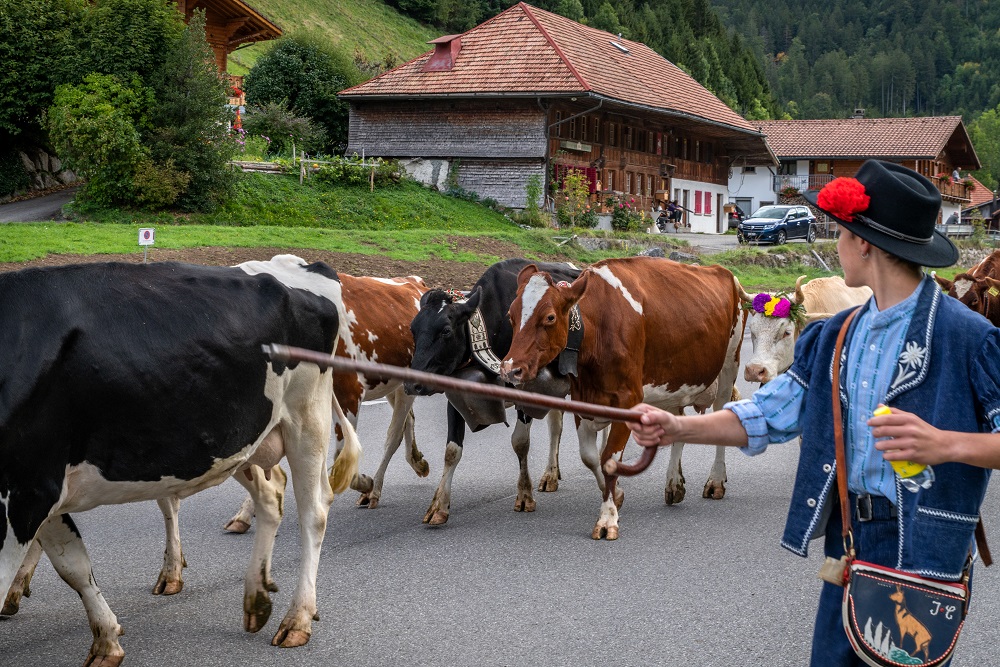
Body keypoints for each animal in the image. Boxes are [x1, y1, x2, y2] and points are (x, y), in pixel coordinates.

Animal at [0, 256, 360, 667]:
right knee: (271, 497)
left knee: (314, 512)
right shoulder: (38, 490)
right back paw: (256, 597)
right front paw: (107, 639)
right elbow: (72, 563)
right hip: (241, 443)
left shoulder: (24, 494)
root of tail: (299, 263)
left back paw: (297, 618)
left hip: (307, 420)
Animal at [498, 258, 744, 540]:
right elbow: (591, 457)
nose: (510, 369)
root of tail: (720, 270)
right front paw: (616, 495)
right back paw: (674, 484)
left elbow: (609, 459)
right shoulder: (583, 402)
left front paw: (607, 519)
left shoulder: (629, 400)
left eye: (549, 317)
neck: (597, 330)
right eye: (511, 315)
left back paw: (715, 481)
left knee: (722, 408)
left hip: (729, 364)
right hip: (674, 385)